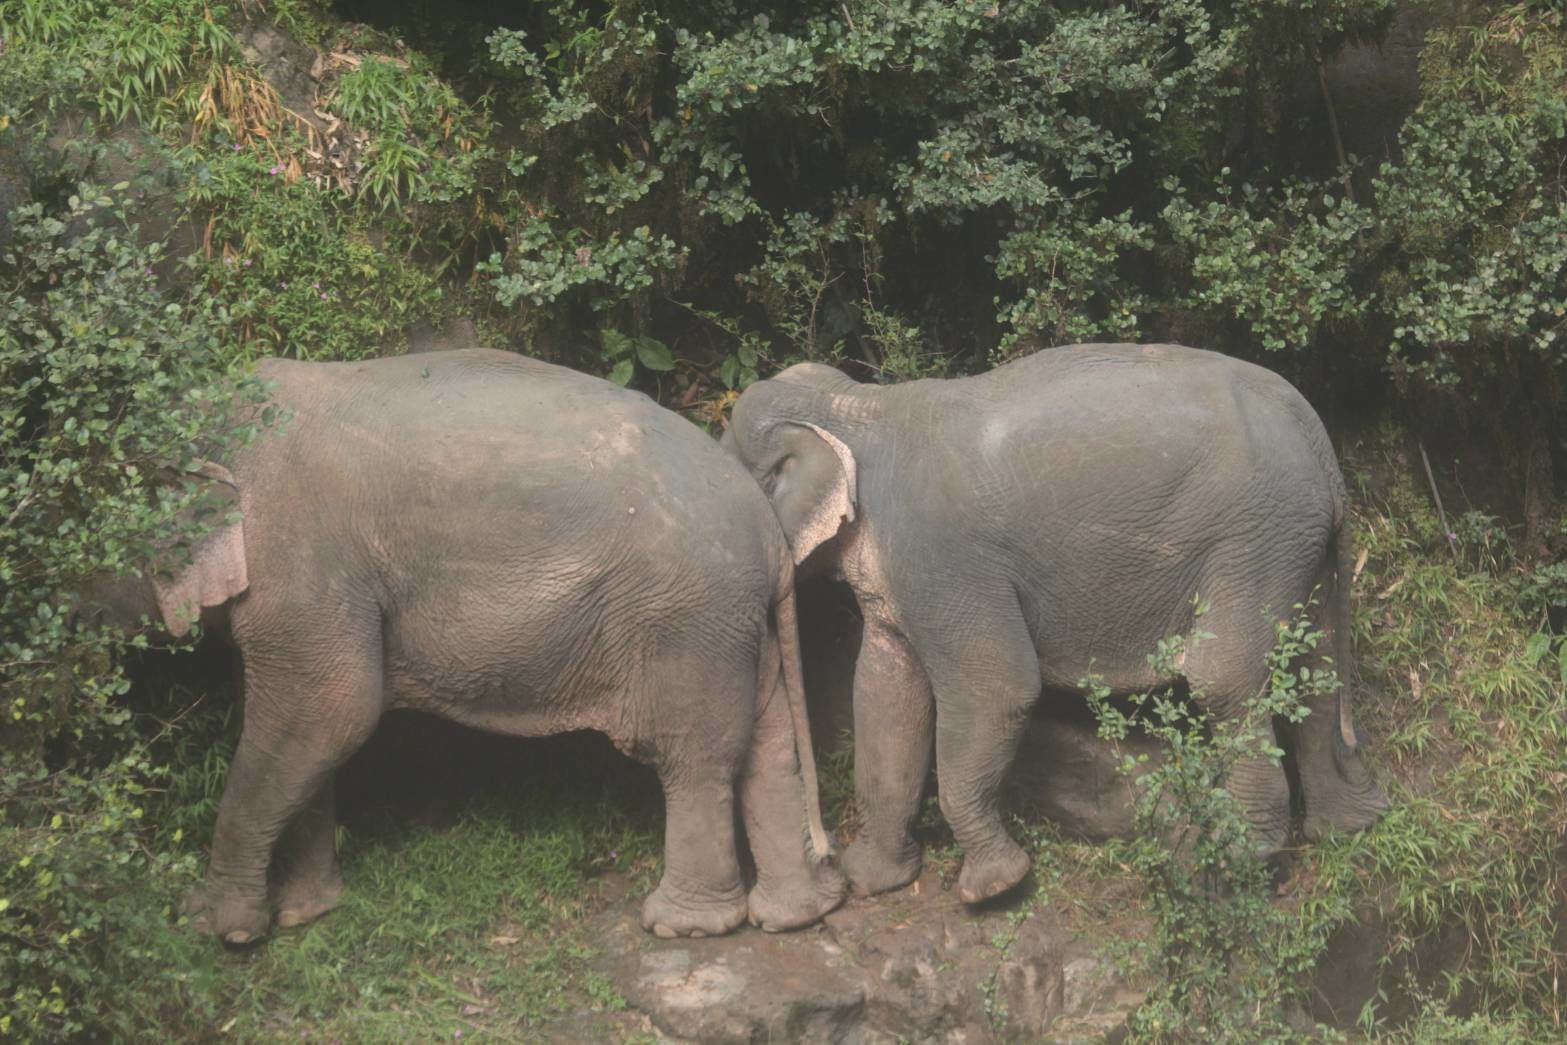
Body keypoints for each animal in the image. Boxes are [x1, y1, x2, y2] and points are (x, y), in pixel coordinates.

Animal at [88, 347, 846, 946]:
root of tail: (766, 524)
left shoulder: (304, 561)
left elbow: (329, 712)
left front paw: (216, 924)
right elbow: (308, 731)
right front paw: (307, 912)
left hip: (684, 616)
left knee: (692, 757)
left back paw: (682, 927)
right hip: (735, 621)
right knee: (767, 746)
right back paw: (790, 916)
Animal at [720, 343, 1385, 908]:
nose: (827, 857)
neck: (855, 405)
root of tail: (1319, 441)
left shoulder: (945, 558)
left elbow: (999, 689)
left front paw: (993, 888)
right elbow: (886, 696)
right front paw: (872, 880)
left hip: (1255, 540)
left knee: (1226, 682)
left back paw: (1235, 862)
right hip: (1298, 545)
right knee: (1316, 672)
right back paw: (1346, 826)